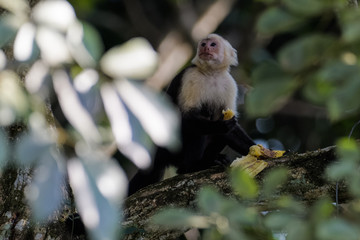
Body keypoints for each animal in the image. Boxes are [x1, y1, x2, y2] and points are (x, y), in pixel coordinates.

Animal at [128, 33, 255, 195]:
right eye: (203, 44)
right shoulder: (191, 76)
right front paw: (221, 125)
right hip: (174, 150)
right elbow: (185, 118)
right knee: (197, 129)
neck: (211, 73)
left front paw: (263, 150)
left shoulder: (229, 83)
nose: (206, 48)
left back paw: (210, 160)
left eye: (213, 45)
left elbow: (232, 129)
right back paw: (194, 166)